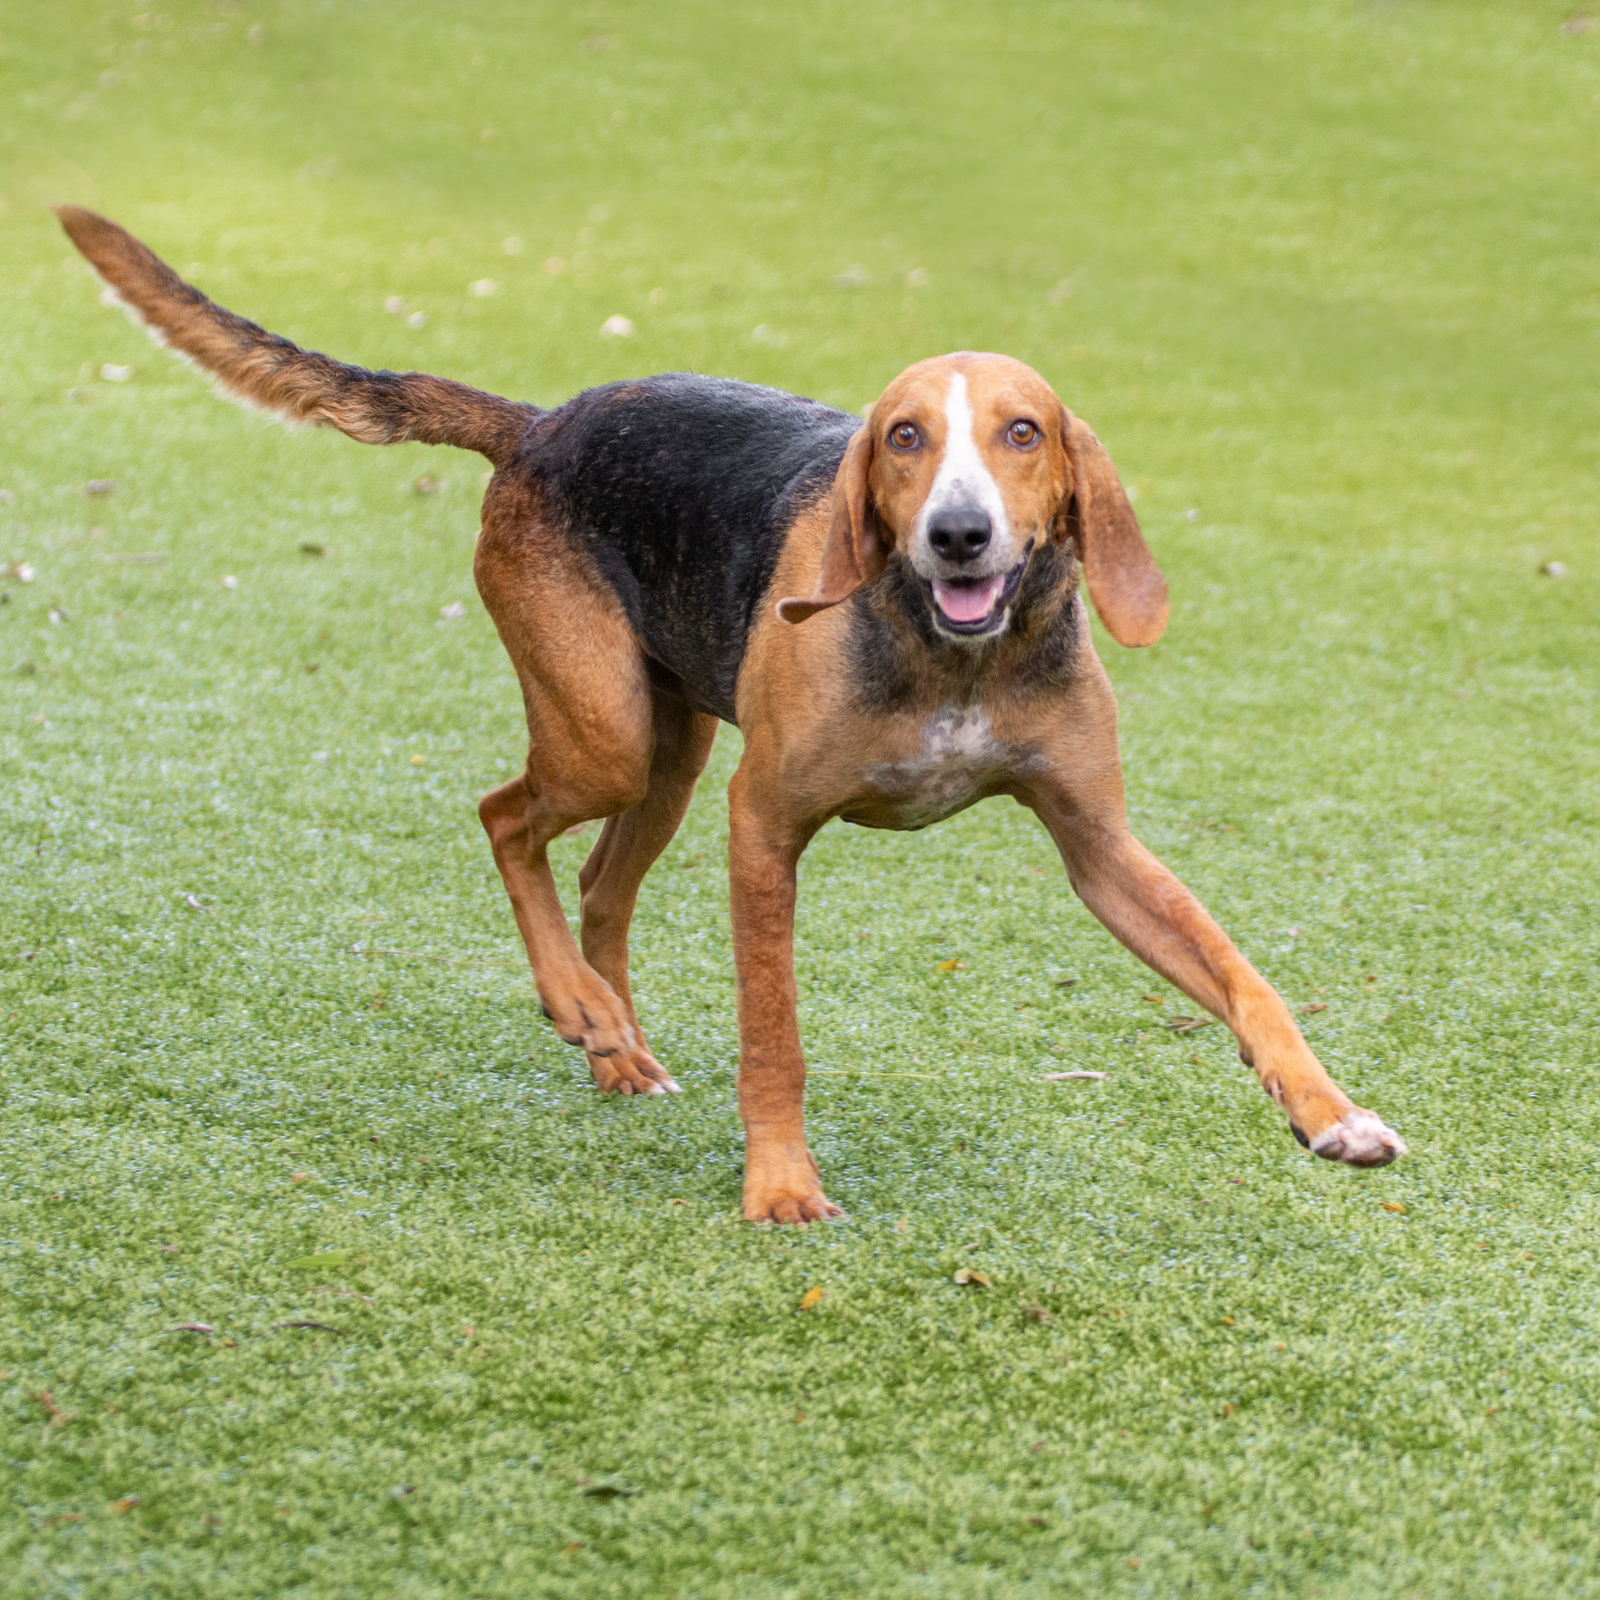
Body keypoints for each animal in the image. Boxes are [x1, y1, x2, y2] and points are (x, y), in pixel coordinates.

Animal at [56, 206, 1408, 1216]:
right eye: (903, 438)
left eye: (1022, 433)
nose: (958, 533)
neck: (951, 661)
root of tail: (540, 424)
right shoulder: (764, 828)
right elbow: (776, 1034)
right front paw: (780, 1187)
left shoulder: (1101, 847)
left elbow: (1244, 979)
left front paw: (1330, 1113)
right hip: (607, 735)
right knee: (504, 817)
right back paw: (576, 1005)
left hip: (670, 752)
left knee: (597, 882)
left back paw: (611, 1037)